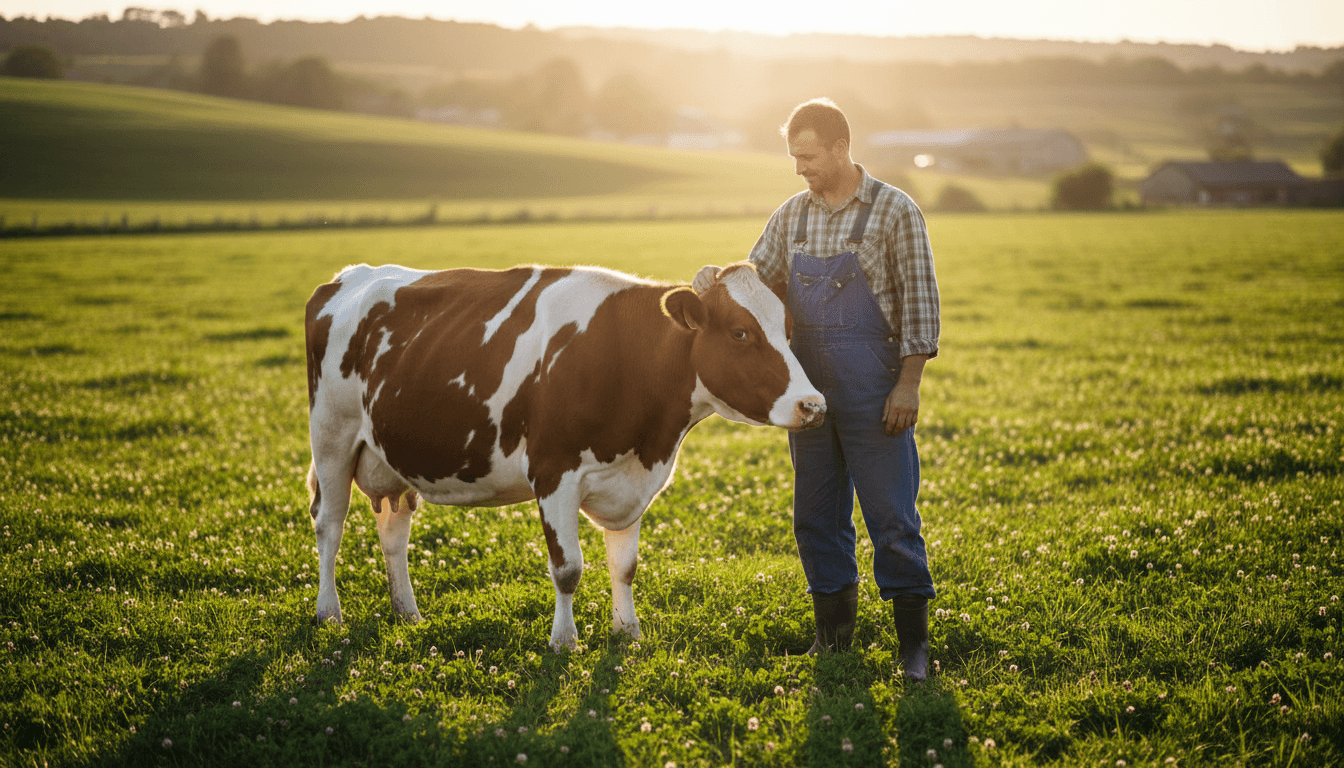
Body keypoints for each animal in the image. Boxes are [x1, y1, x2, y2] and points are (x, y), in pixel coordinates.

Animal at [304, 261, 824, 651]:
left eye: (788, 329)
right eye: (739, 333)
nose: (813, 405)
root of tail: (351, 275)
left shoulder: (630, 481)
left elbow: (625, 565)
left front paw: (628, 632)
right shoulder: (554, 473)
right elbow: (568, 568)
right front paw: (564, 641)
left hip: (390, 456)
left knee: (393, 529)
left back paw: (407, 612)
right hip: (331, 437)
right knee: (330, 523)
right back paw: (329, 613)